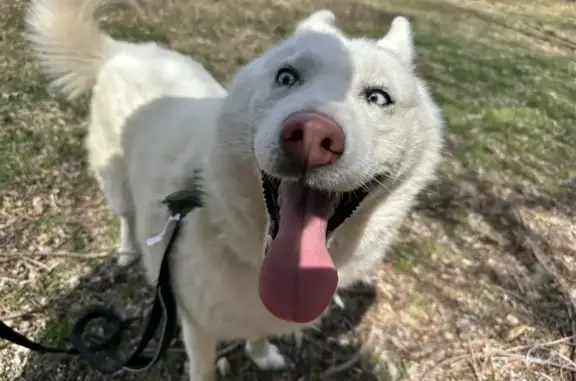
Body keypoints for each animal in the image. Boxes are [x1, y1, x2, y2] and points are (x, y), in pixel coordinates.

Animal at [23, 0, 446, 378]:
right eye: (287, 77)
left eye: (378, 97)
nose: (312, 136)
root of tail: (124, 50)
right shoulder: (196, 326)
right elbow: (204, 369)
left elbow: (257, 334)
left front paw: (261, 355)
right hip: (114, 178)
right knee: (126, 216)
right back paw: (128, 250)